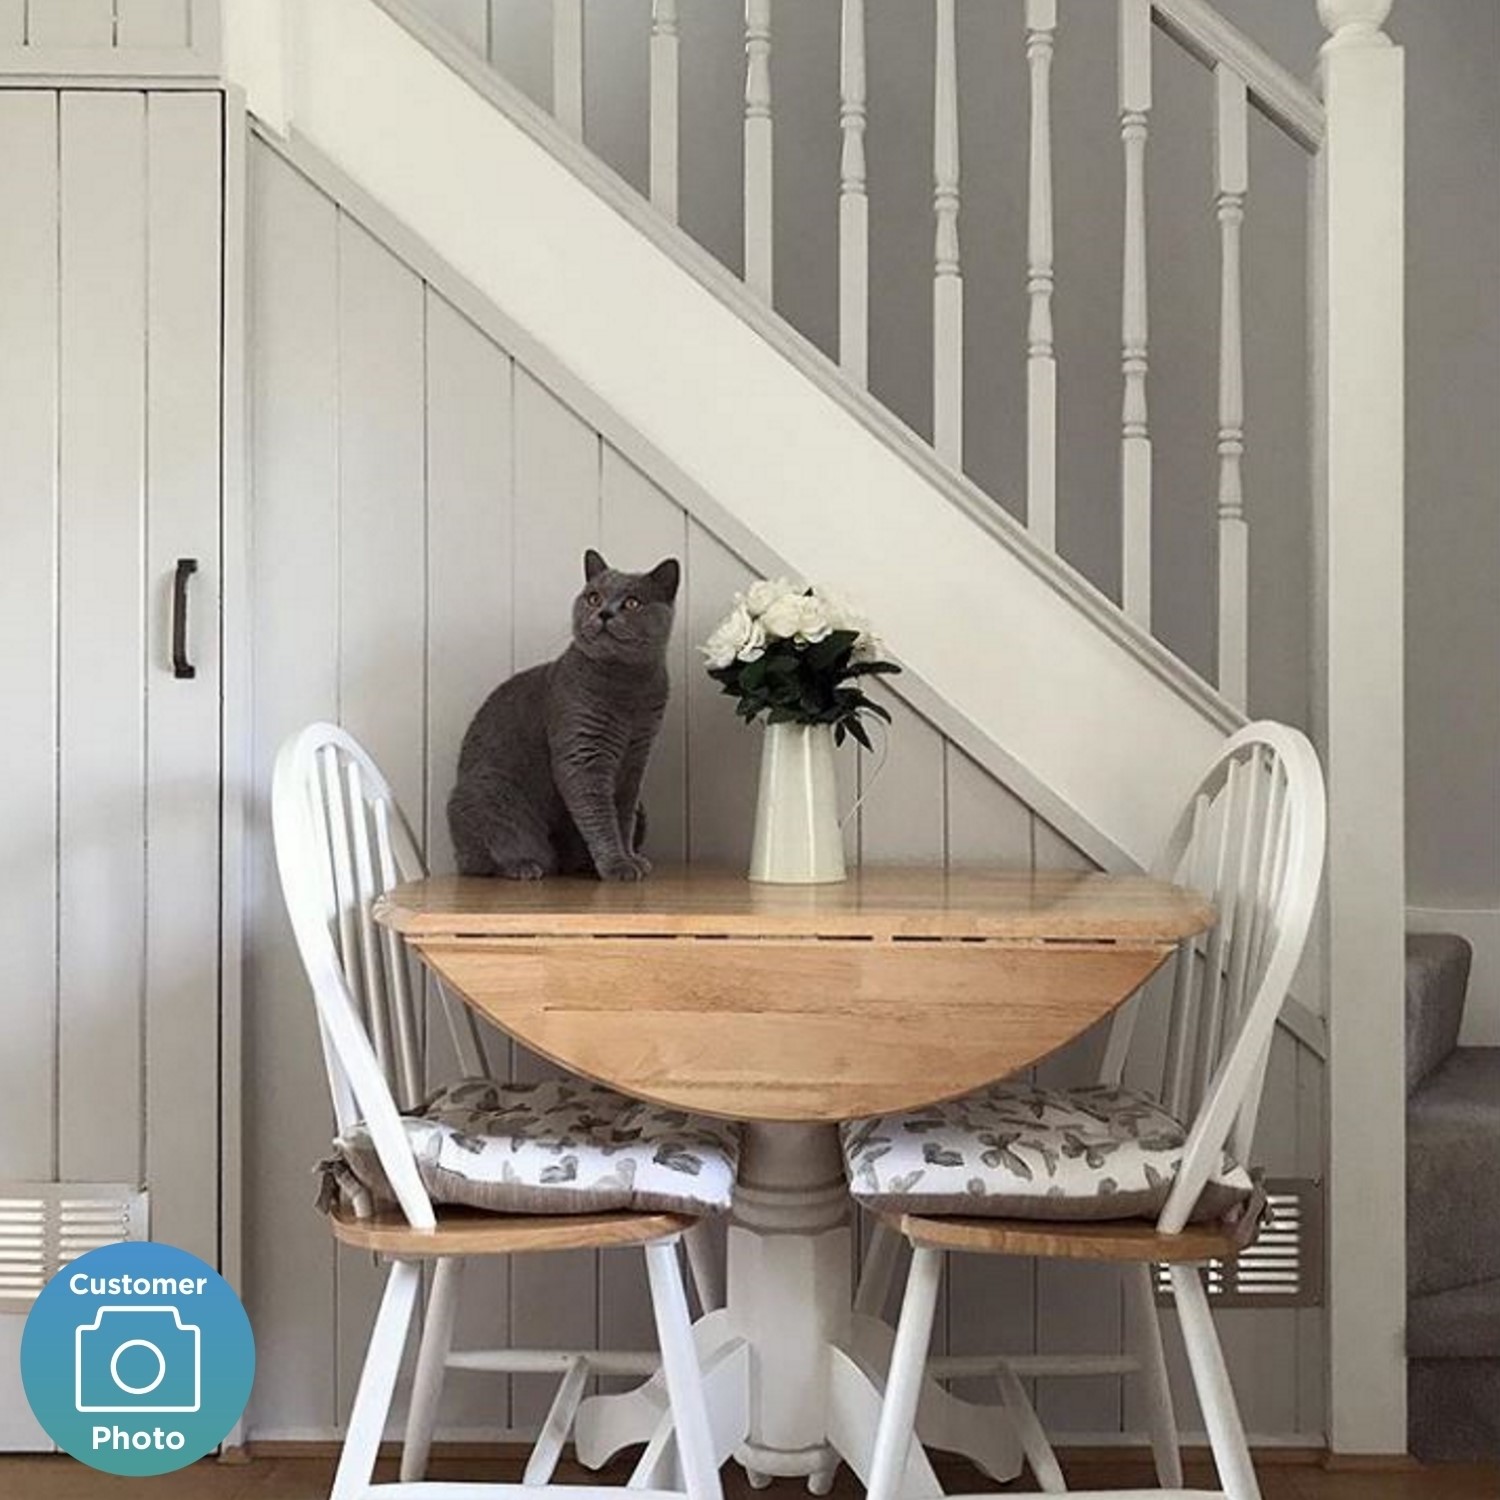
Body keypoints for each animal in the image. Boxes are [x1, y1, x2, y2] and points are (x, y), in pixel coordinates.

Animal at [444, 552, 681, 876]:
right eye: (593, 597)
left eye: (633, 602)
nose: (604, 613)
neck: (629, 691)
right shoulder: (582, 755)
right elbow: (600, 817)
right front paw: (617, 865)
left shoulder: (636, 761)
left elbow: (624, 817)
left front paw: (631, 858)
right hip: (491, 795)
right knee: (487, 859)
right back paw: (524, 866)